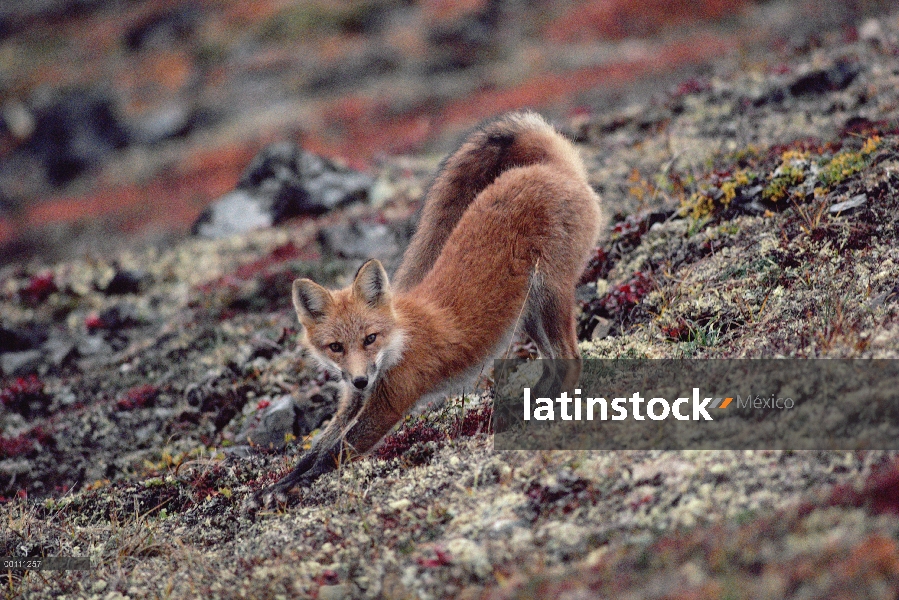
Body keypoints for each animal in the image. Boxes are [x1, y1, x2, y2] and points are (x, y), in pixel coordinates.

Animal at [256, 109, 600, 502]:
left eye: (370, 338)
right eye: (336, 347)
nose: (360, 379)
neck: (398, 344)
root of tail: (550, 167)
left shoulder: (391, 402)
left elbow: (334, 453)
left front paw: (293, 488)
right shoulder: (352, 401)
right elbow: (315, 448)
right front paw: (280, 483)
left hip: (550, 297)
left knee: (570, 360)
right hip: (527, 314)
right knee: (552, 364)